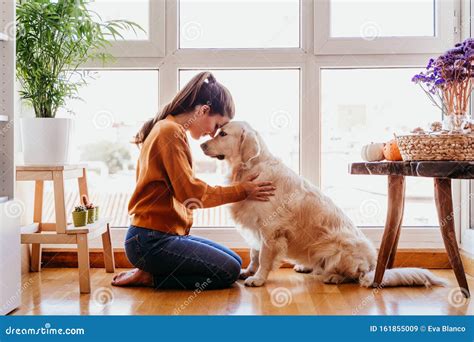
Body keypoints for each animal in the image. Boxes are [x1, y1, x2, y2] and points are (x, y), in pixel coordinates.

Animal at [201, 121, 448, 288]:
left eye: (223, 134)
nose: (202, 144)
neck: (249, 168)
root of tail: (372, 265)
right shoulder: (255, 226)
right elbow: (253, 253)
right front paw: (248, 271)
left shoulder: (270, 230)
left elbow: (263, 257)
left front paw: (258, 279)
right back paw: (306, 266)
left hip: (339, 249)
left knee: (355, 276)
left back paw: (334, 277)